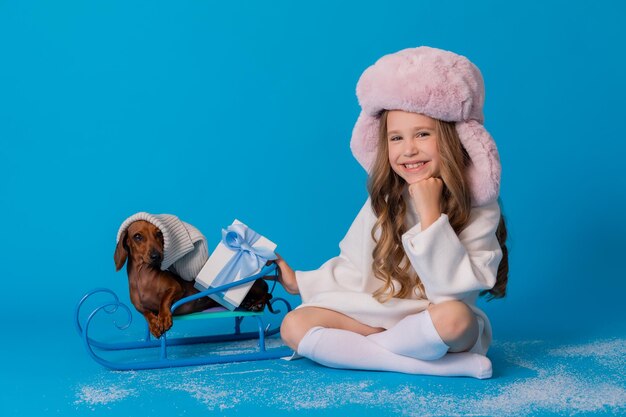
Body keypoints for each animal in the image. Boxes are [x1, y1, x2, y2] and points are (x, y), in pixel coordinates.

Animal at [114, 219, 272, 336]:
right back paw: (248, 303)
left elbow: (164, 301)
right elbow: (146, 313)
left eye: (159, 234)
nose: (156, 256)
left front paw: (164, 318)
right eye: (137, 236)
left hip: (250, 287)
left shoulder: (176, 288)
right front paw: (153, 324)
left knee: (268, 295)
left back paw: (256, 304)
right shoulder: (139, 306)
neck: (145, 277)